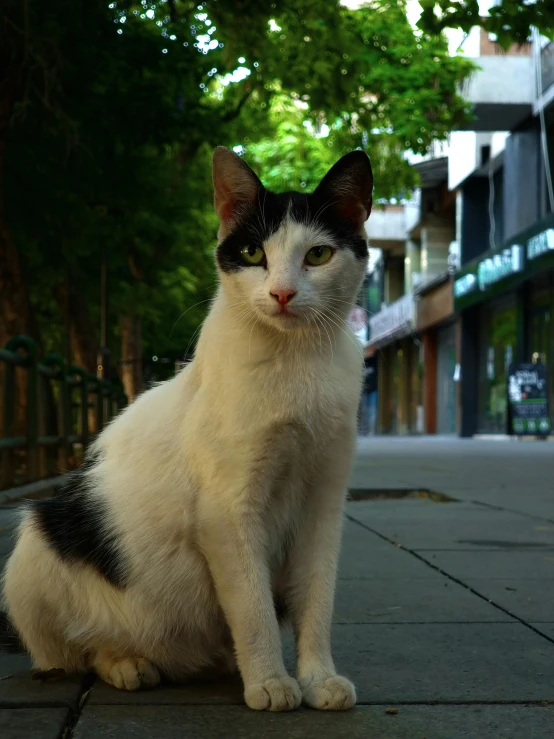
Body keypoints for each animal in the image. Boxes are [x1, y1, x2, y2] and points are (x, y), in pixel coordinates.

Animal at [3, 146, 370, 712]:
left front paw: (318, 677)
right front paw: (269, 681)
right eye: (252, 252)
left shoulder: (324, 503)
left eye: (317, 255)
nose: (282, 293)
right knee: (73, 652)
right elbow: (253, 606)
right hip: (37, 539)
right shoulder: (227, 511)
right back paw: (127, 663)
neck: (296, 366)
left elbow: (317, 599)